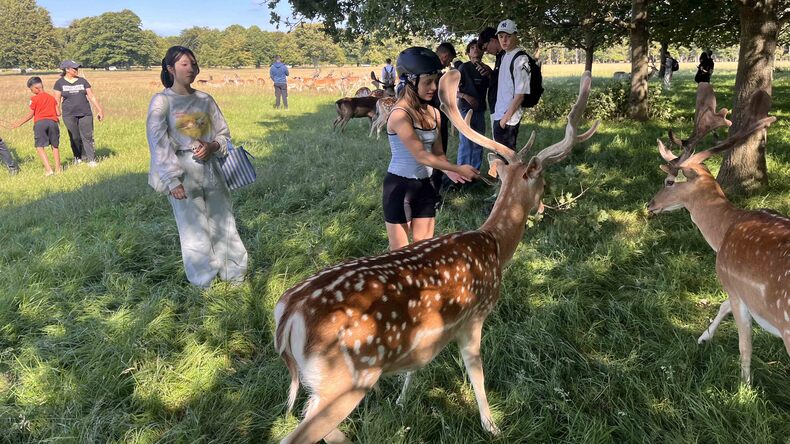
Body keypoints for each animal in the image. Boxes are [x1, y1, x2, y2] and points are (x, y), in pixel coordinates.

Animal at [273, 70, 599, 444]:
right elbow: (476, 372)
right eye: (543, 182)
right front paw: (492, 425)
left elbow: (414, 371)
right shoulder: (474, 315)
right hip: (344, 380)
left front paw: (402, 399)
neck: (494, 246)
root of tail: (287, 316)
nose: (544, 207)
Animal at [646, 82, 787, 385]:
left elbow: (744, 343)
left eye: (669, 181)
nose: (650, 204)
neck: (723, 232)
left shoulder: (732, 283)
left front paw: (744, 387)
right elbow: (722, 305)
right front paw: (703, 338)